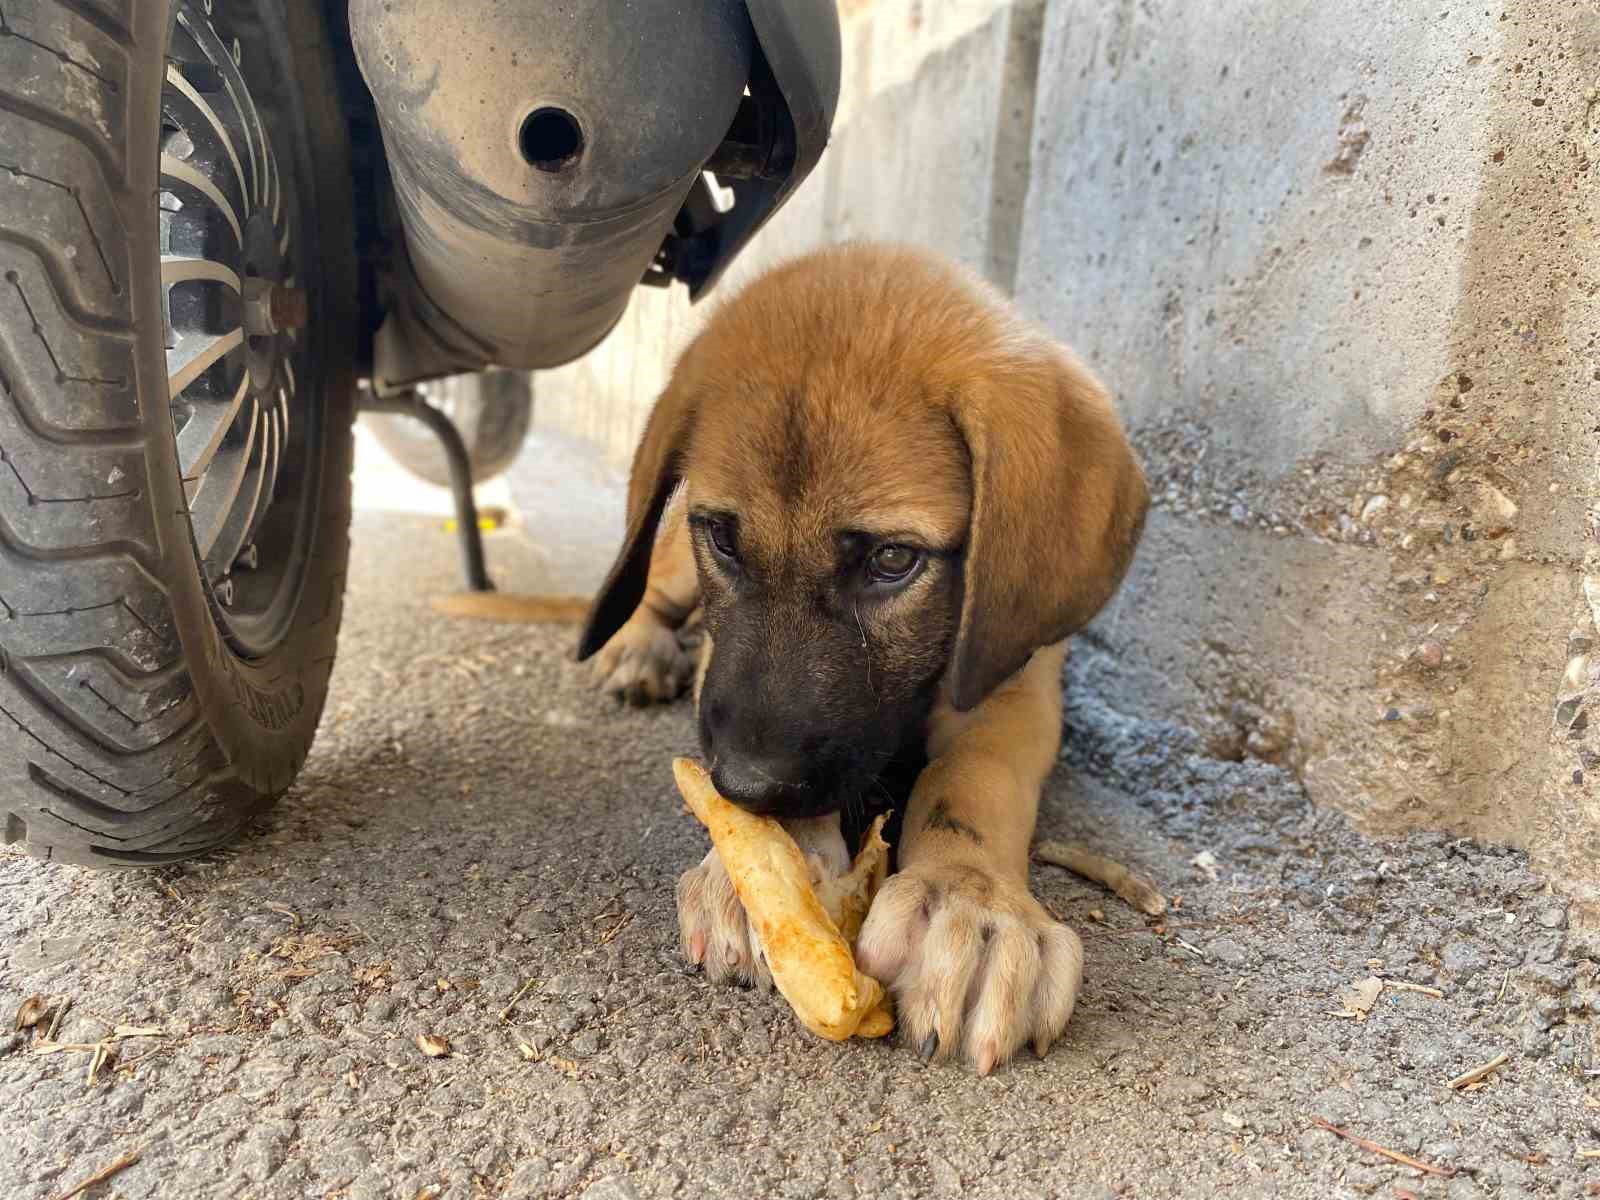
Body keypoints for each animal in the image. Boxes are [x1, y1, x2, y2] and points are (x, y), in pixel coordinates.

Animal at [582, 241, 1145, 1068]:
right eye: (723, 537)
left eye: (891, 560)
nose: (747, 786)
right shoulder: (722, 653)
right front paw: (759, 868)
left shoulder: (1017, 683)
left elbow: (973, 781)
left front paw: (971, 902)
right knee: (652, 583)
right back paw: (637, 646)